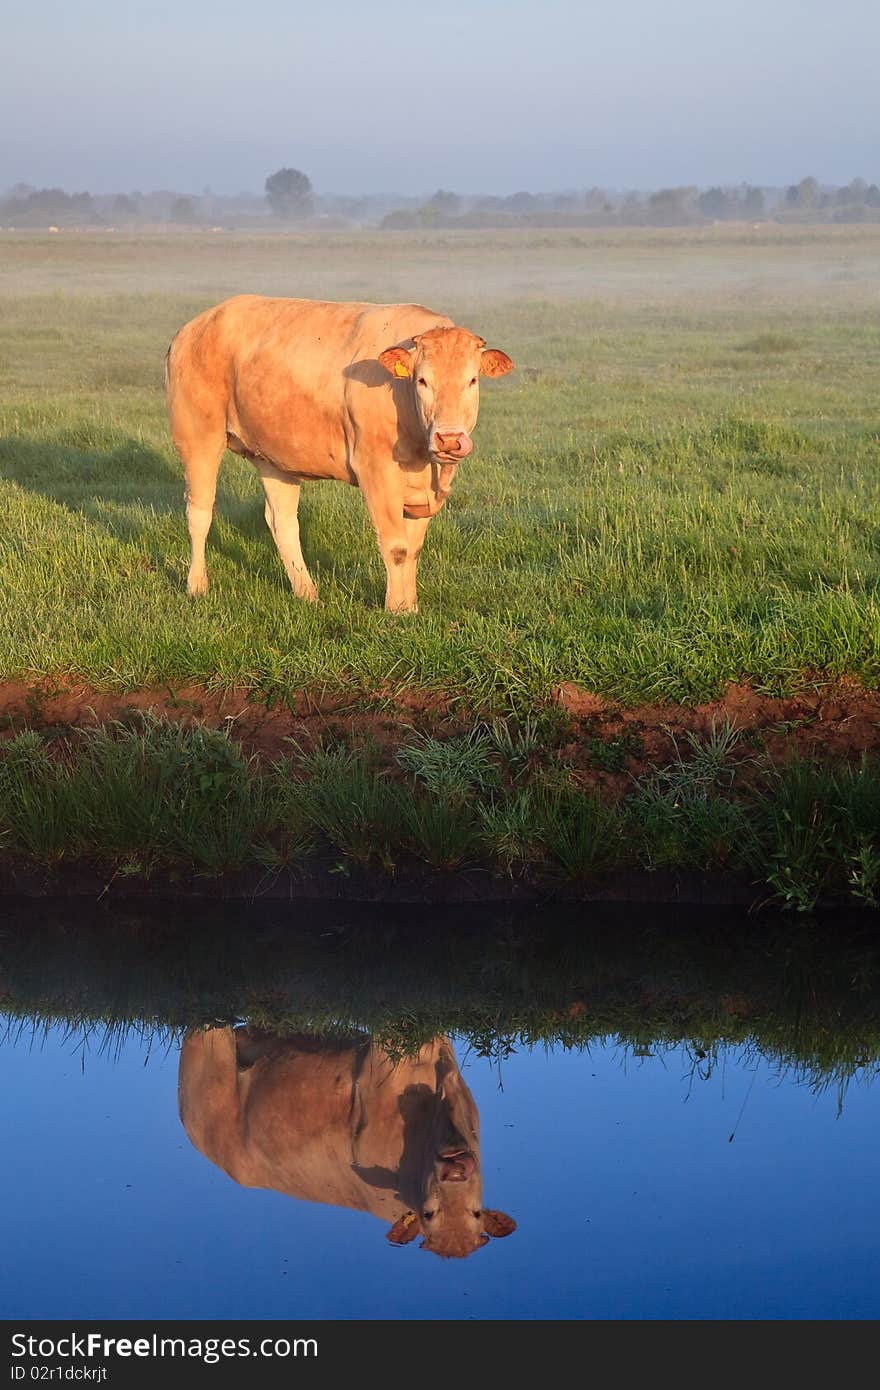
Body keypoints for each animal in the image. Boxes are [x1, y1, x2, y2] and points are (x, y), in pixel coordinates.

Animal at [163, 296, 514, 611]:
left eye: (472, 380)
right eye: (423, 380)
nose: (449, 439)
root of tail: (196, 325)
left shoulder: (426, 490)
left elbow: (413, 549)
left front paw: (411, 605)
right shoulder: (376, 469)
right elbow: (396, 546)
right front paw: (397, 610)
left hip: (273, 454)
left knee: (282, 522)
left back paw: (307, 593)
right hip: (198, 435)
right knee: (200, 511)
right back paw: (197, 585)